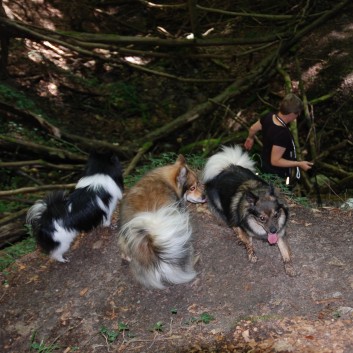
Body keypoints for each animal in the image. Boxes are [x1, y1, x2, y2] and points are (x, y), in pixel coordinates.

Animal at [202, 145, 296, 276]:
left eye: (276, 215)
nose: (273, 230)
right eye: (262, 218)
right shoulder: (244, 226)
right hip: (221, 207)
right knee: (232, 223)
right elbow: (249, 242)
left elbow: (285, 252)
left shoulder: (280, 234)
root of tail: (227, 167)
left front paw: (289, 267)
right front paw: (251, 254)